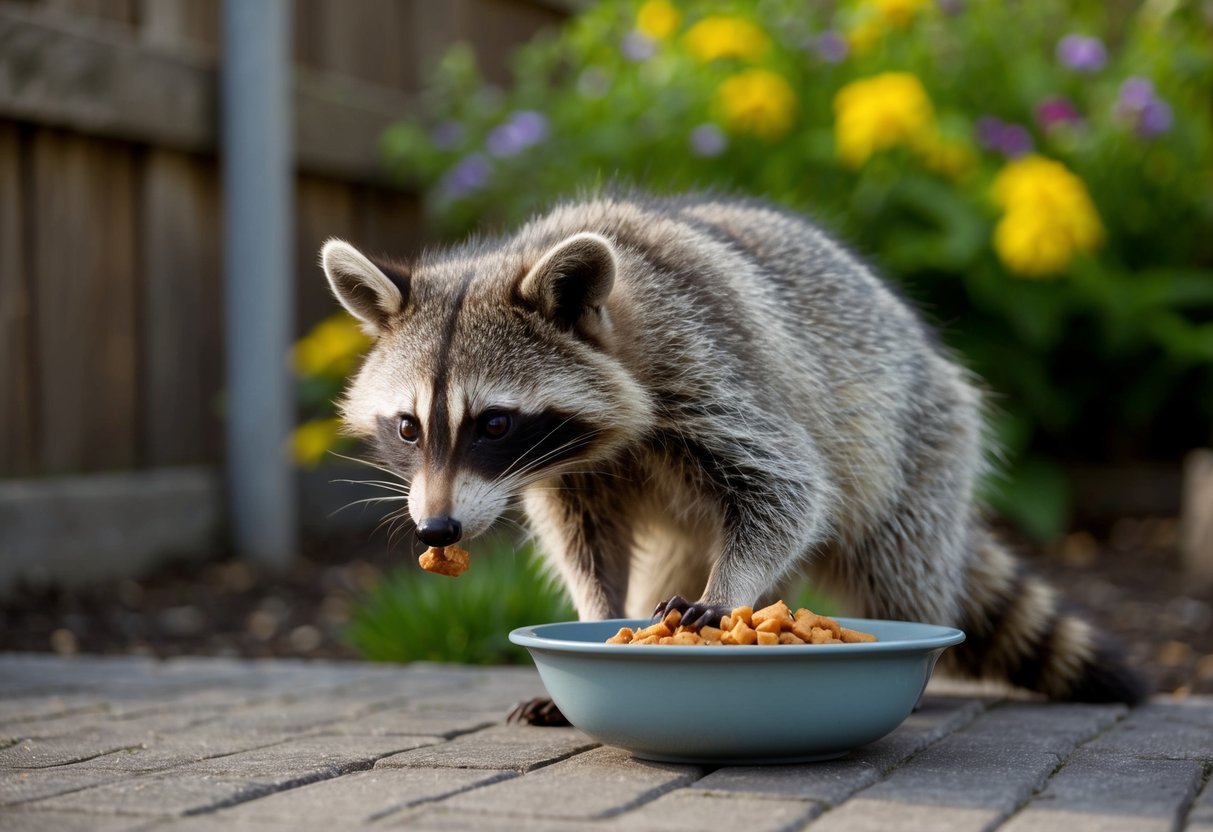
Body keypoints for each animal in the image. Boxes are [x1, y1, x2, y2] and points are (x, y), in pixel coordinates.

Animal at [322, 193, 1145, 704]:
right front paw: (598, 610)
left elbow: (787, 488)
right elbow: (583, 539)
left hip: (922, 446)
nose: (436, 528)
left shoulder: (708, 363)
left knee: (901, 574)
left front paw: (727, 590)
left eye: (492, 424)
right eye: (408, 427)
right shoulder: (573, 473)